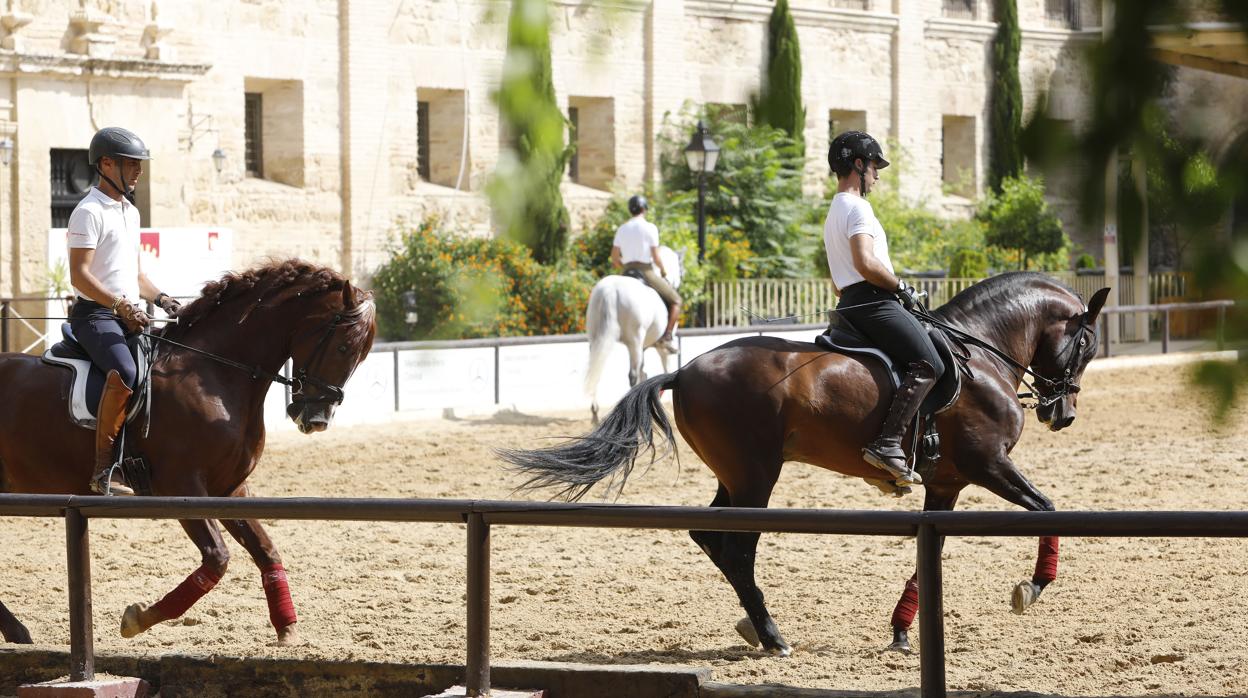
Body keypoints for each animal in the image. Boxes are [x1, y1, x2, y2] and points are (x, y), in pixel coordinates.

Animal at [0, 262, 374, 649]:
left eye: (361, 355)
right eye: (343, 347)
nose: (317, 420)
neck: (216, 375)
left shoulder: (228, 489)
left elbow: (265, 548)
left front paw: (287, 627)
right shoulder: (181, 487)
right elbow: (218, 558)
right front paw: (138, 619)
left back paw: (16, 631)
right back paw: (17, 630)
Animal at [504, 273, 1113, 654]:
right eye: (1087, 343)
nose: (1063, 414)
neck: (982, 356)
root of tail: (684, 370)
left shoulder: (948, 484)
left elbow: (930, 552)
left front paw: (900, 630)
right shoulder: (989, 465)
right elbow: (1046, 509)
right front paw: (1033, 586)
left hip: (736, 475)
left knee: (710, 536)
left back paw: (755, 625)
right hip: (757, 476)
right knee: (737, 549)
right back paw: (773, 636)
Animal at [584, 245, 683, 424]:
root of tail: (611, 291)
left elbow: (644, 371)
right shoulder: (660, 348)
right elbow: (664, 368)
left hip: (595, 340)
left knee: (596, 371)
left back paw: (595, 412)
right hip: (634, 342)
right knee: (632, 375)